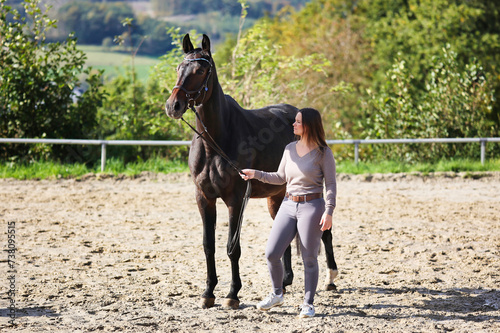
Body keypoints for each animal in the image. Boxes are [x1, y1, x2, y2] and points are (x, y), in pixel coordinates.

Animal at [166, 32, 338, 308]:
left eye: (201, 70)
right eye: (179, 68)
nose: (174, 105)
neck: (215, 142)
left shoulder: (235, 200)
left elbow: (232, 247)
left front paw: (232, 294)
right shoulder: (204, 198)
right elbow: (208, 245)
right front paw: (208, 292)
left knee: (326, 231)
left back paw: (331, 279)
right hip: (277, 196)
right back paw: (285, 282)